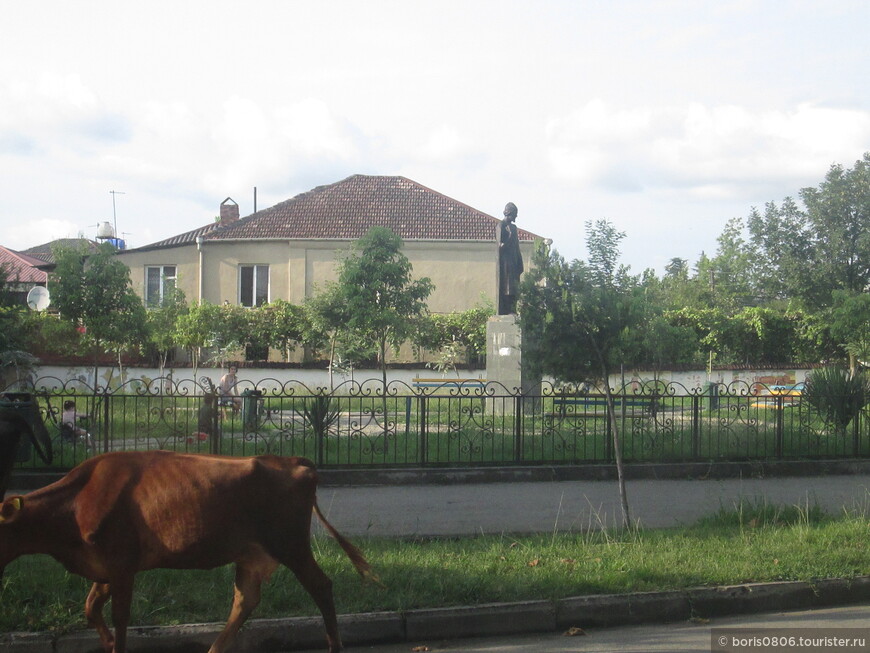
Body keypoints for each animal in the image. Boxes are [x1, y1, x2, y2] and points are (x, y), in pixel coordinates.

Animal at [0, 450, 374, 652]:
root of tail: (294, 461)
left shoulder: (122, 564)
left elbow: (120, 616)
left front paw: (115, 644)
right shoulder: (104, 566)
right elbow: (91, 607)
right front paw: (106, 643)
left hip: (289, 543)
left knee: (320, 586)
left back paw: (334, 645)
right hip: (251, 554)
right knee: (245, 599)